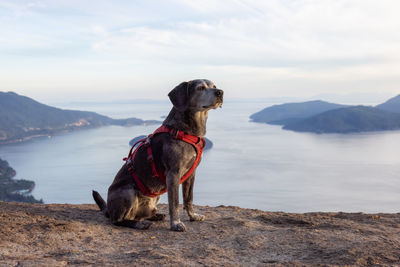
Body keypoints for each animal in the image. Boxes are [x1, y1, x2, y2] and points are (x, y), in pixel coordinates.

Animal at [94, 79, 225, 232]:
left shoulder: (191, 174)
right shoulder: (173, 175)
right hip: (128, 191)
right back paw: (139, 224)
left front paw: (193, 216)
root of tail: (109, 209)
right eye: (200, 88)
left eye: (214, 86)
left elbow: (189, 198)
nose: (220, 92)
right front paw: (176, 223)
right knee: (118, 220)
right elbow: (174, 203)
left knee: (139, 215)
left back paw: (155, 216)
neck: (185, 131)